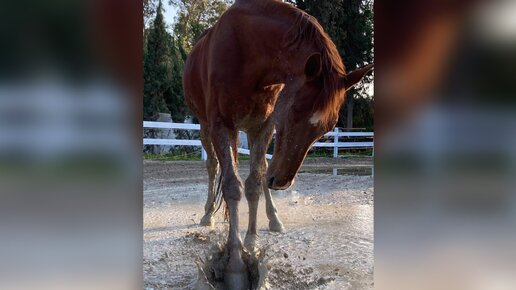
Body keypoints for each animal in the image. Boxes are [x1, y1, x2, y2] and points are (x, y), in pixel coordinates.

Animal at [183, 0, 372, 288]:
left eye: (328, 127)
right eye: (294, 111)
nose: (283, 181)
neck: (246, 50)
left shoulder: (263, 126)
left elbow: (253, 182)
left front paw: (251, 244)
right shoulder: (220, 125)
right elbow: (231, 186)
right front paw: (236, 267)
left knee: (261, 172)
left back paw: (272, 218)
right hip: (206, 127)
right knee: (214, 168)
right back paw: (208, 215)